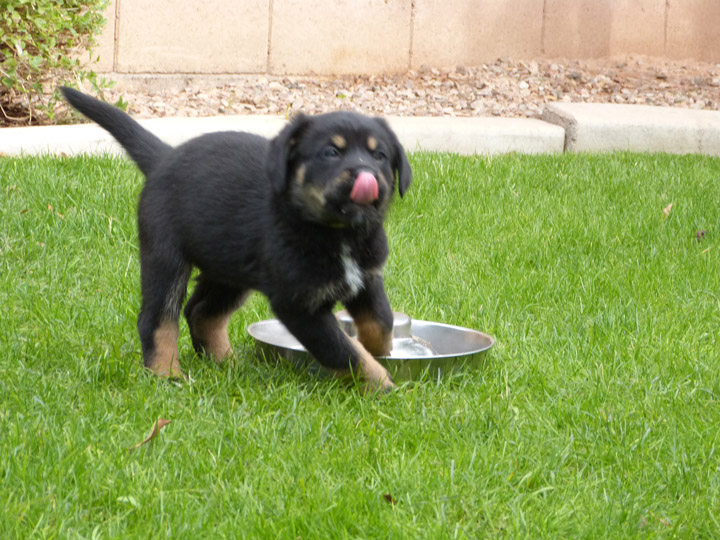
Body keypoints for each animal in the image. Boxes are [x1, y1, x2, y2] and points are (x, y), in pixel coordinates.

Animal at [60, 87, 410, 392]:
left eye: (379, 155)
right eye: (331, 152)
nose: (367, 176)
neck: (338, 233)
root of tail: (164, 157)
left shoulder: (367, 277)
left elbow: (381, 321)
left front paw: (382, 353)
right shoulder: (298, 305)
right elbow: (343, 351)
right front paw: (381, 383)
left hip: (230, 267)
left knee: (201, 312)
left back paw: (226, 363)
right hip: (165, 257)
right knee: (158, 319)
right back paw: (166, 373)